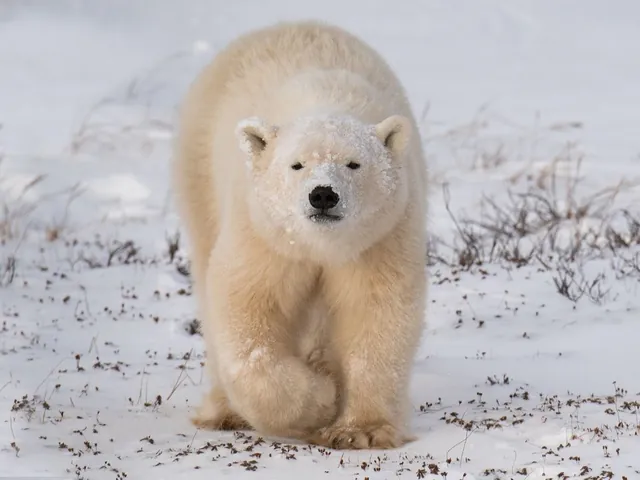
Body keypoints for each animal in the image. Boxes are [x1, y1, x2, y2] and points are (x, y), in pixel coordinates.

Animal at [172, 20, 428, 450]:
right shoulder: (264, 234)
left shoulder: (379, 237)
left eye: (353, 164)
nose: (323, 194)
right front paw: (321, 400)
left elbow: (375, 312)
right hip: (200, 176)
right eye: (297, 165)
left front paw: (359, 430)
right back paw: (224, 410)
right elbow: (247, 310)